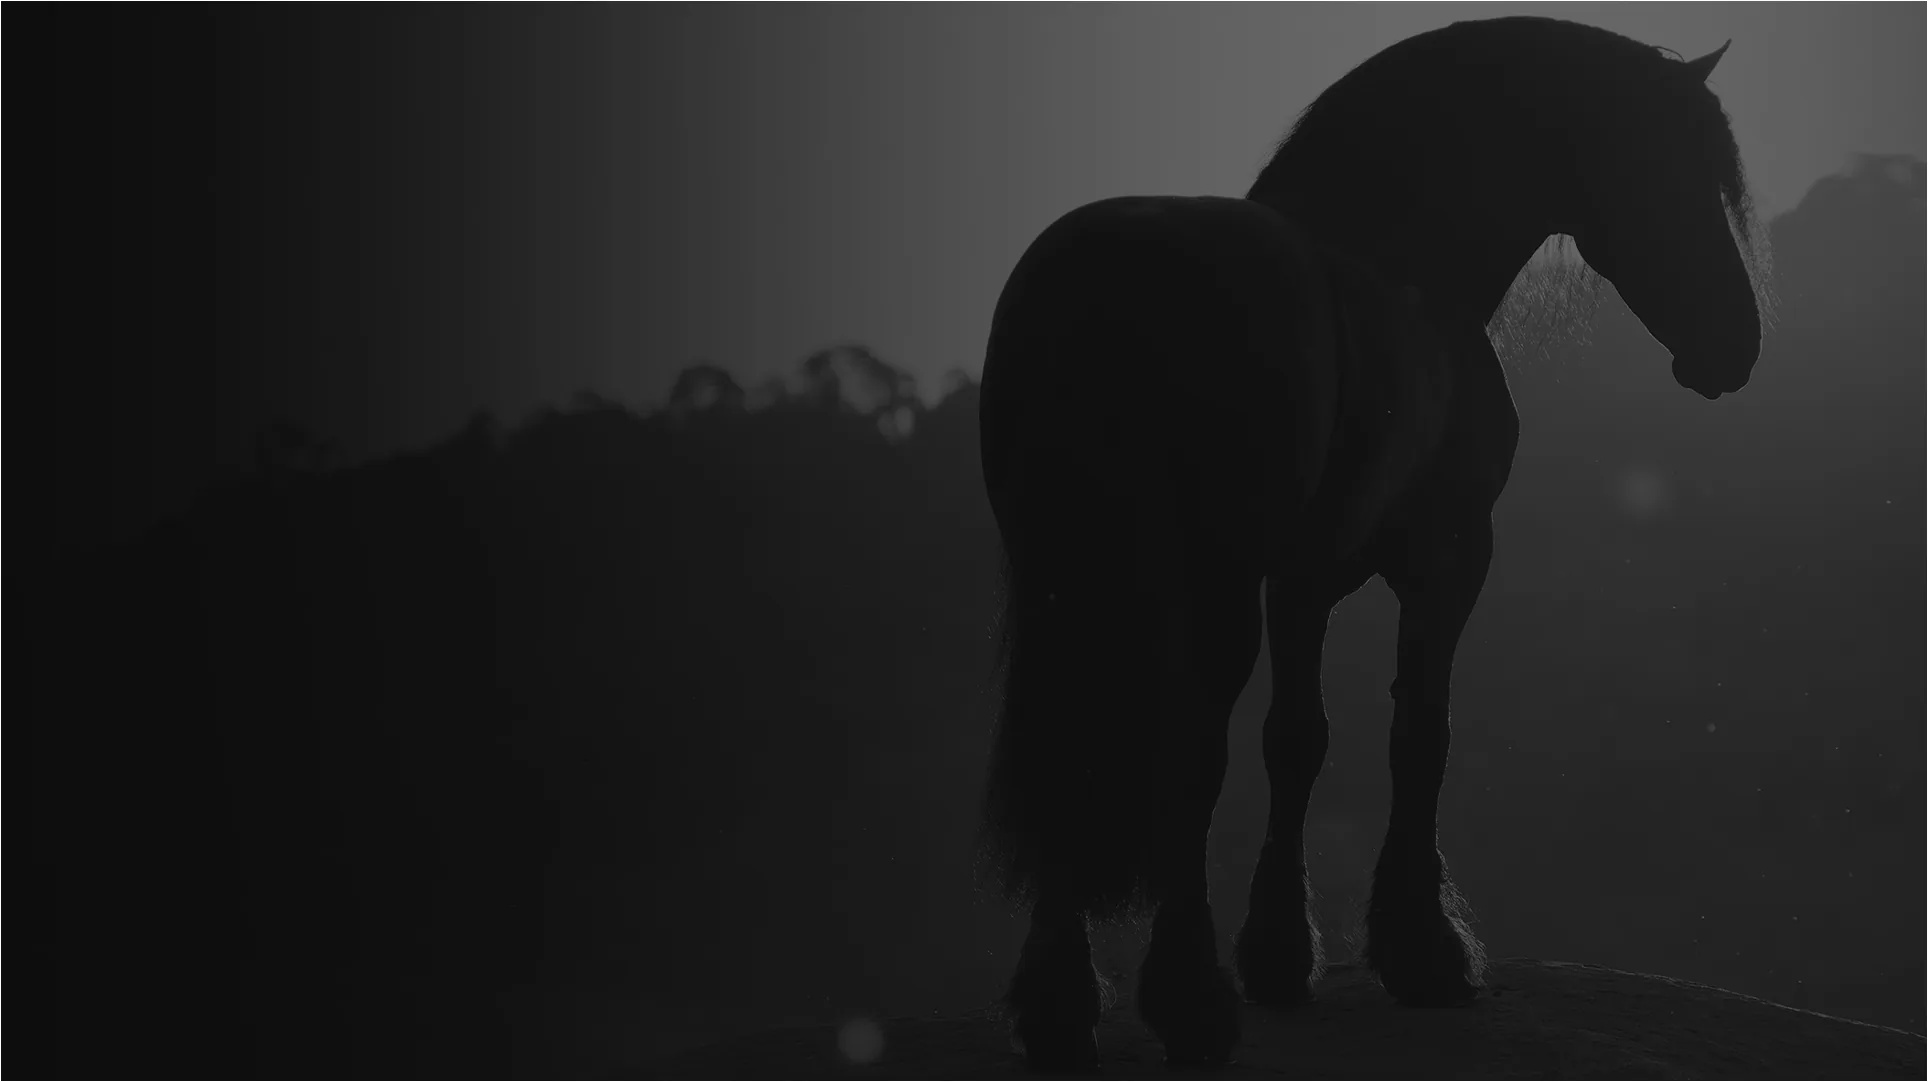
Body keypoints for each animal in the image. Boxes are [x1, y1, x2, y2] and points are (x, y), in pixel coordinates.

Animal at [976, 16, 1771, 1068]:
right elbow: (1417, 734)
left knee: (1075, 746)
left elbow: (1295, 740)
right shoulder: (1448, 558)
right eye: (1670, 166)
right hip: (1204, 586)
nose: (1735, 345)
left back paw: (1060, 1006)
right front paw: (1423, 952)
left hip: (1068, 581)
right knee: (1186, 752)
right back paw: (1187, 1001)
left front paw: (1280, 954)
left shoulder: (1301, 579)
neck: (1406, 260)